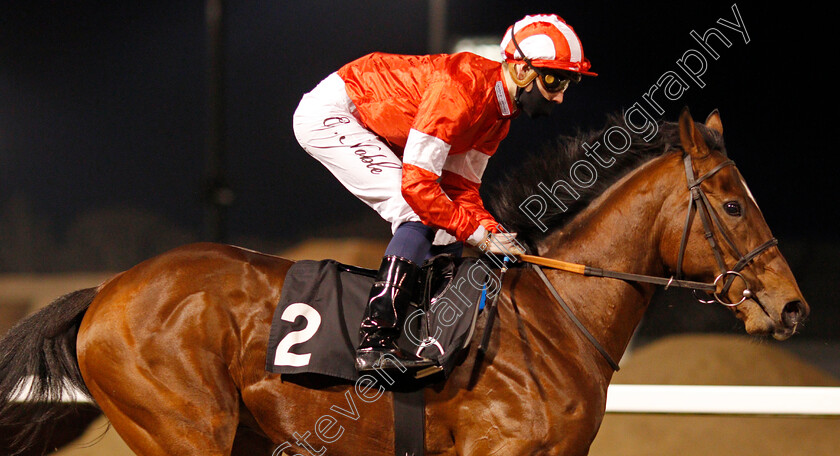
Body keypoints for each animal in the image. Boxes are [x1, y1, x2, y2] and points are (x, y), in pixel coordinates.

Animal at [1, 108, 812, 454]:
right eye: (733, 203)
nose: (793, 307)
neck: (556, 316)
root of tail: (106, 292)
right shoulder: (496, 453)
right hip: (182, 429)